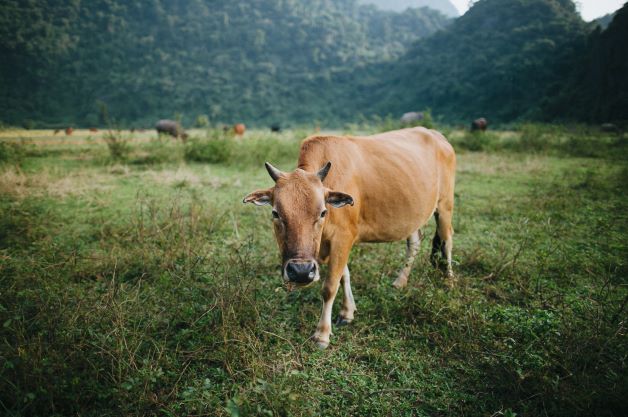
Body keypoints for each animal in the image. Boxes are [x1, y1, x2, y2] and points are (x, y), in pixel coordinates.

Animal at [244, 127, 456, 348]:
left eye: (323, 212)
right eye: (275, 213)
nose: (301, 272)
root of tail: (437, 136)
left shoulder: (343, 237)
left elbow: (330, 286)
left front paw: (322, 334)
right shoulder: (335, 243)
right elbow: (344, 276)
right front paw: (347, 312)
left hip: (445, 206)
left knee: (447, 240)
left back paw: (449, 282)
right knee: (414, 242)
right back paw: (400, 282)